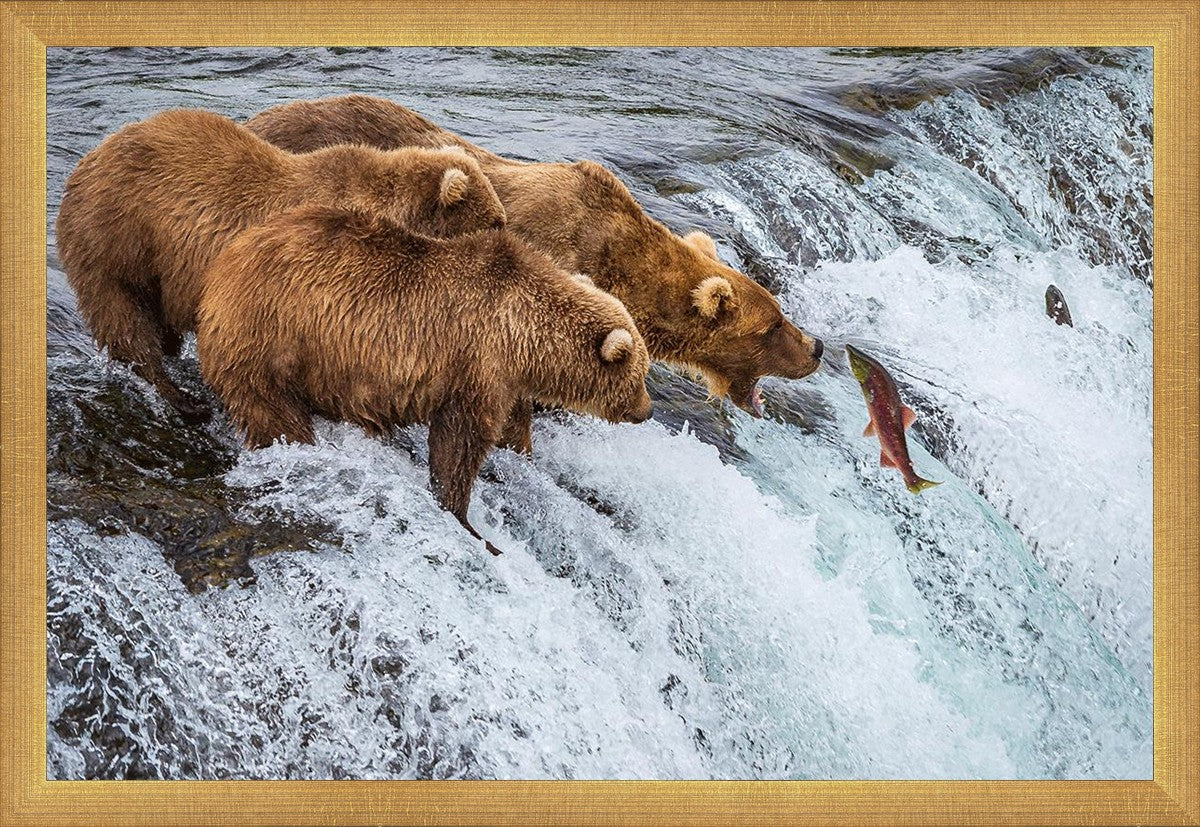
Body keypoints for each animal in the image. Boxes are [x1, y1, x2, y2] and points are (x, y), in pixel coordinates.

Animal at [56, 108, 507, 424]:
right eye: (495, 221)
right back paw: (182, 398)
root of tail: (88, 159)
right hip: (118, 239)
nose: (508, 235)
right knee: (124, 319)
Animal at [196, 203, 652, 555]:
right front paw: (469, 522)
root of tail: (221, 267)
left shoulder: (505, 380)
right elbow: (459, 443)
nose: (646, 411)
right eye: (640, 375)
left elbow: (510, 428)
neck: (523, 335)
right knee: (273, 412)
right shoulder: (476, 363)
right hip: (272, 338)